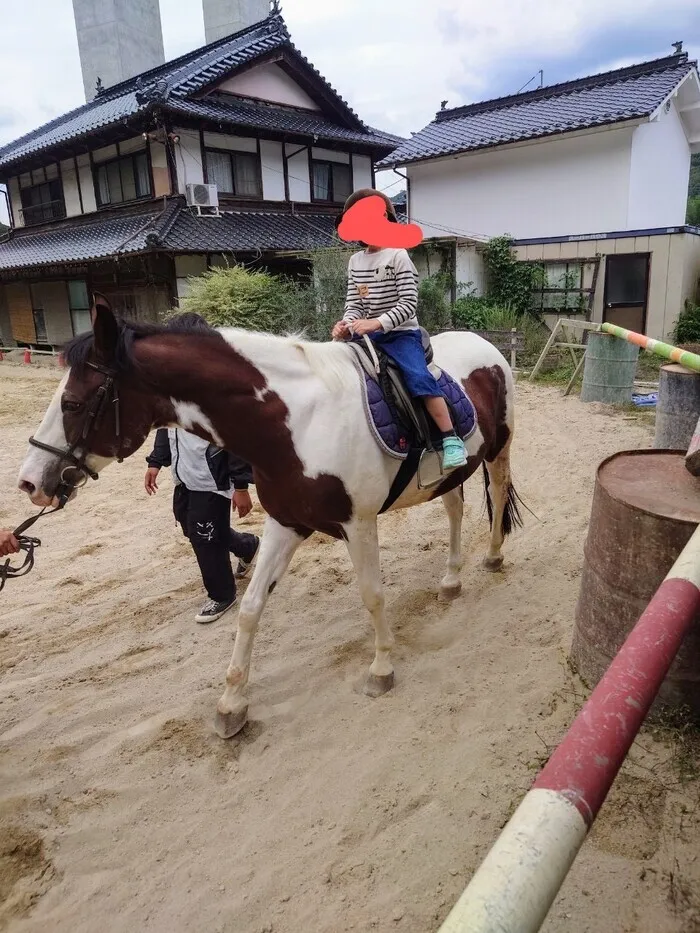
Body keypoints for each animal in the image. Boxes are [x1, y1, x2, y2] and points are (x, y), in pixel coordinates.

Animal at [17, 298, 520, 736]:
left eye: (73, 403)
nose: (29, 482)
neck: (295, 423)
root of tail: (485, 344)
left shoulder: (359, 524)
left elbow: (373, 595)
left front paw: (381, 668)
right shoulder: (286, 522)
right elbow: (251, 608)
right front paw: (231, 704)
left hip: (499, 449)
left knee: (496, 494)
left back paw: (493, 557)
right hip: (448, 476)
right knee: (455, 509)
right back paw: (450, 580)